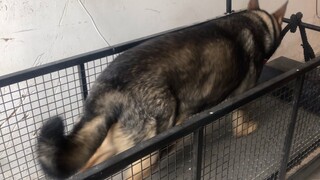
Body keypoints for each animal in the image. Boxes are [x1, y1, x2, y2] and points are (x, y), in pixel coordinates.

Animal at [37, 0, 288, 179]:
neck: (256, 23)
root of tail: (109, 87)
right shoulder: (241, 94)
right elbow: (240, 117)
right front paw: (245, 129)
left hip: (116, 142)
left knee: (87, 166)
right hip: (148, 151)